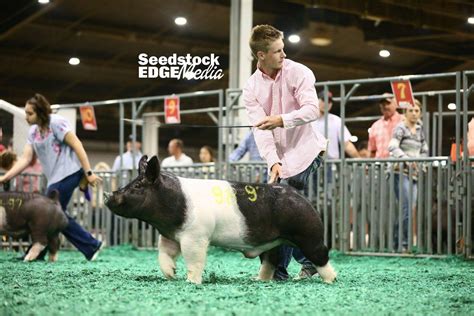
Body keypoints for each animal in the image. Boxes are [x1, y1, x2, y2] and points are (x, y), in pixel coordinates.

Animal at [104, 156, 336, 284]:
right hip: (274, 242)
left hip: (308, 235)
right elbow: (164, 255)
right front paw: (171, 274)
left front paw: (191, 282)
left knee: (321, 256)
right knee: (271, 260)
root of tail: (300, 197)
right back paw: (258, 280)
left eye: (137, 186)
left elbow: (194, 260)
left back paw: (331, 281)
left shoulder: (196, 236)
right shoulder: (170, 235)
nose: (108, 195)